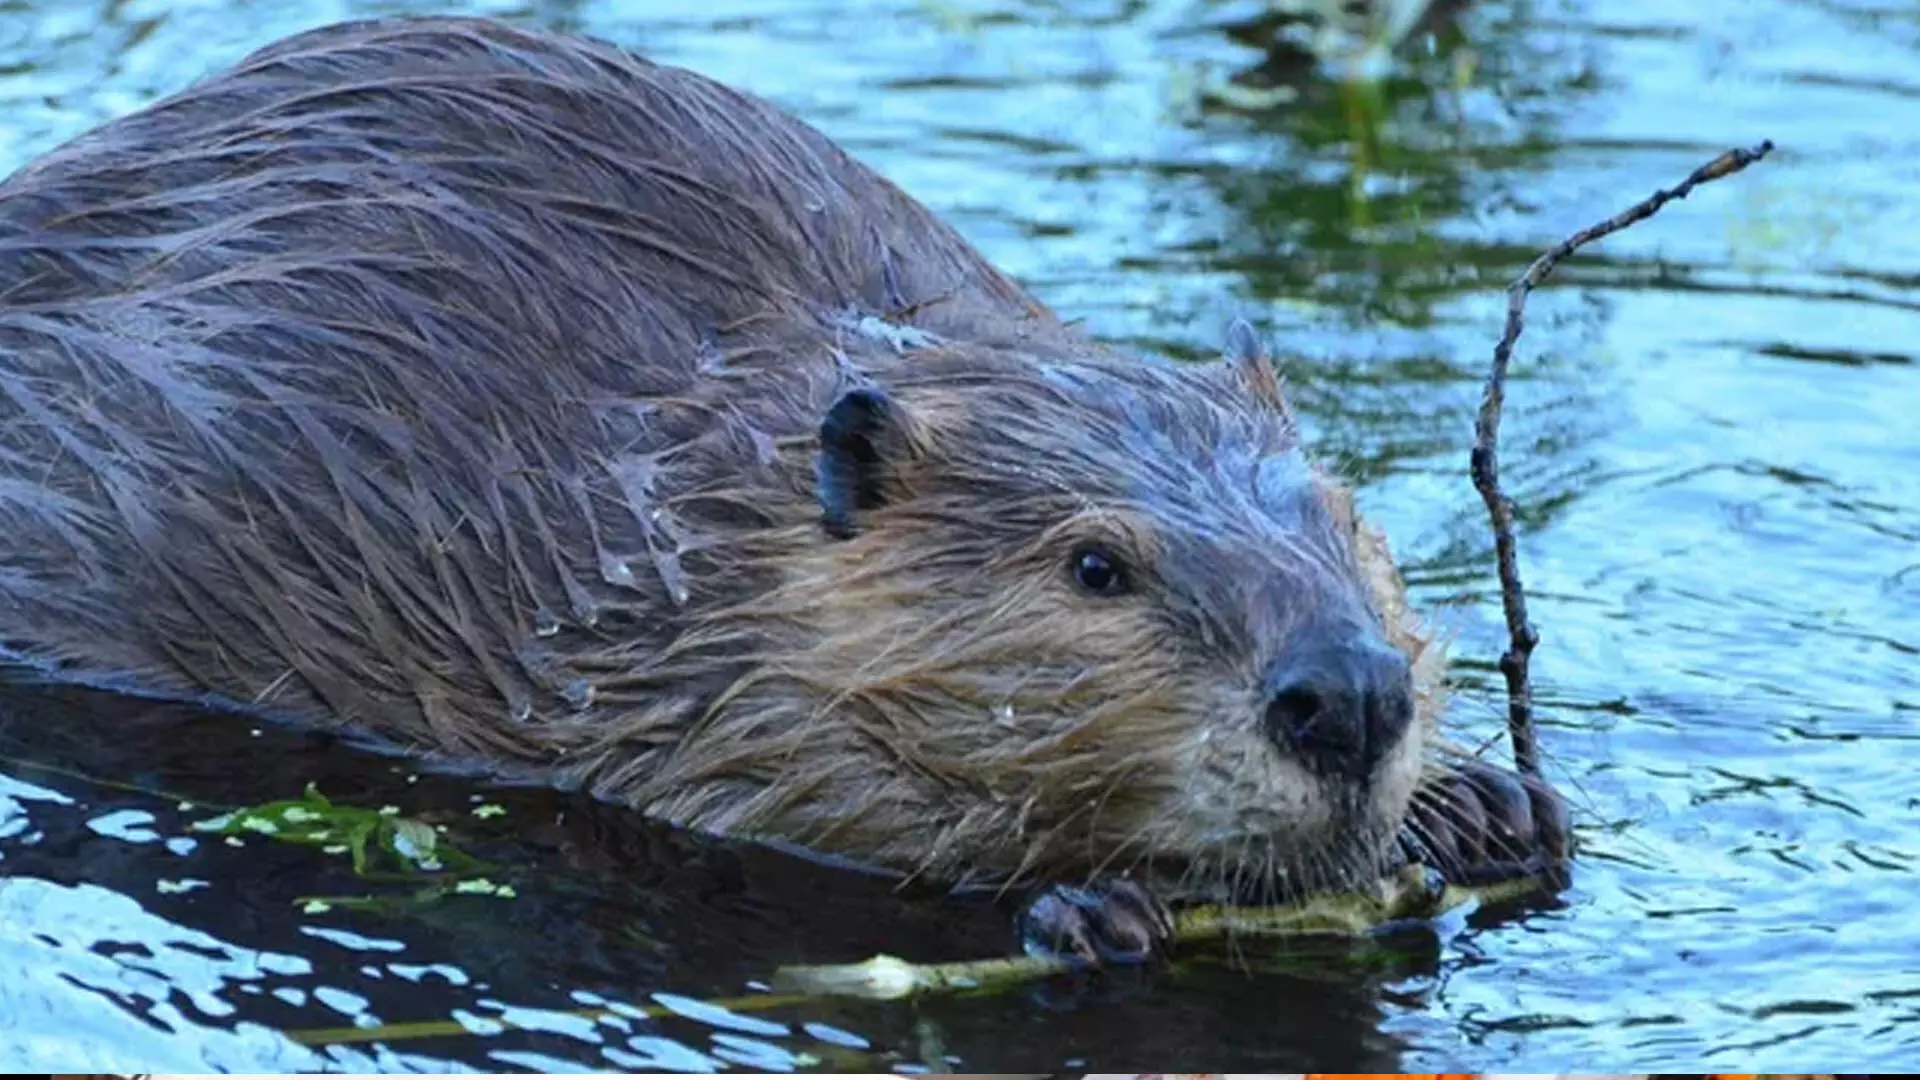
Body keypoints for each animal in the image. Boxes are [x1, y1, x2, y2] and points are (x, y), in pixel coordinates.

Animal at [0, 14, 1566, 957]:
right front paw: (1098, 908)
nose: (1346, 697)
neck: (700, 527)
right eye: (1095, 567)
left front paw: (1487, 805)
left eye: (1345, 523)